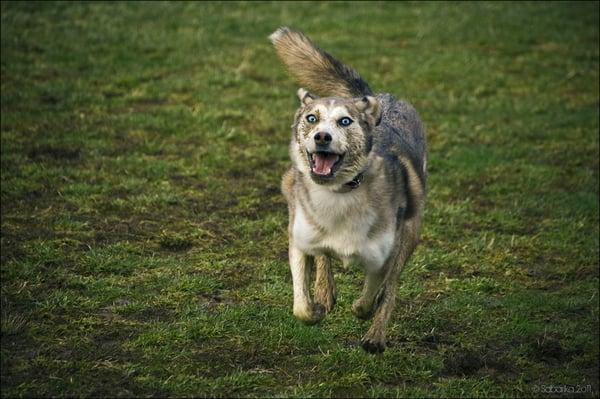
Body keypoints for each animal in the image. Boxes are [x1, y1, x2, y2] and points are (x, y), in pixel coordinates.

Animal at [270, 27, 428, 354]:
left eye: (345, 121)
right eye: (312, 118)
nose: (322, 137)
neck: (338, 193)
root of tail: (375, 98)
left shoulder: (384, 255)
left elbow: (374, 296)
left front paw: (366, 314)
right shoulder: (298, 237)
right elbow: (301, 305)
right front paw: (316, 306)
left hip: (411, 232)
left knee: (391, 288)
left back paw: (375, 337)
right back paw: (325, 293)